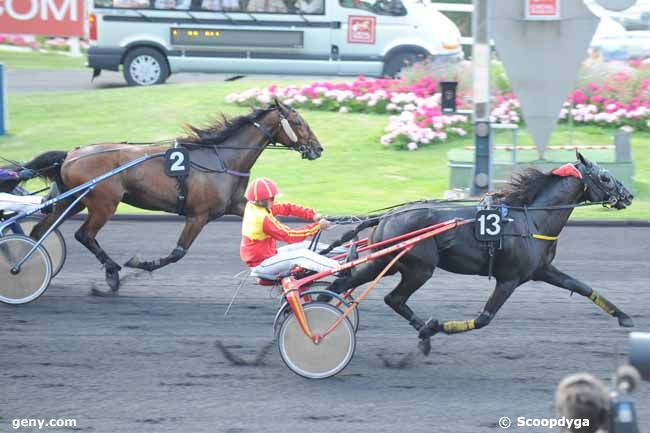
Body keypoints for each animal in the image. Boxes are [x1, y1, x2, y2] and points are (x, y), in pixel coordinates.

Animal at [27, 100, 322, 290]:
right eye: (298, 122)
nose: (318, 149)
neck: (222, 159)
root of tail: (70, 154)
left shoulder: (237, 206)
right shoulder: (198, 215)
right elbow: (178, 252)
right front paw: (141, 263)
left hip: (72, 200)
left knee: (40, 229)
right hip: (103, 204)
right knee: (84, 235)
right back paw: (111, 272)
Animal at [326, 152, 632, 354]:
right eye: (605, 177)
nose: (628, 195)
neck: (531, 219)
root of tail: (386, 217)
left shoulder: (542, 270)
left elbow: (581, 287)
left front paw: (623, 316)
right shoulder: (509, 279)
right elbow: (484, 318)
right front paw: (435, 326)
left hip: (385, 261)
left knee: (347, 283)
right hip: (417, 267)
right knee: (392, 297)